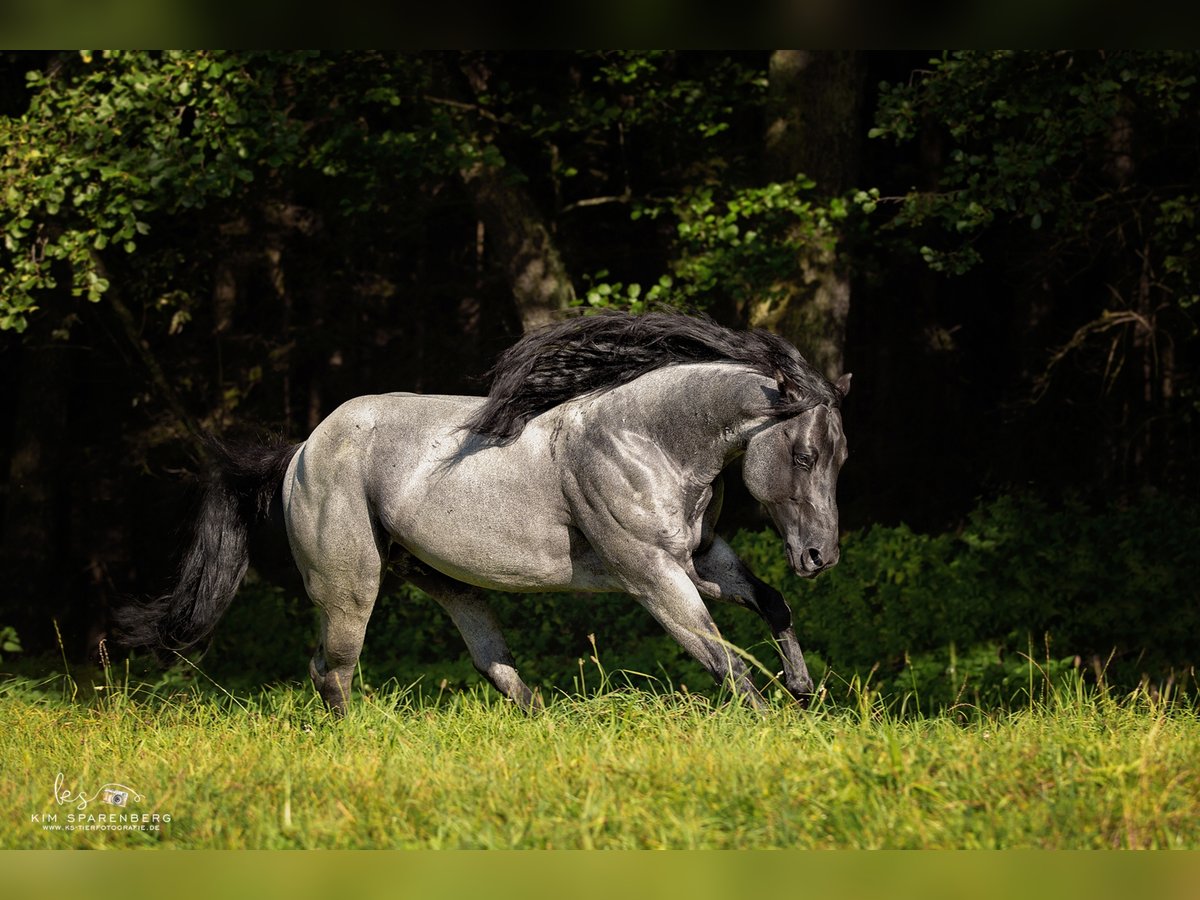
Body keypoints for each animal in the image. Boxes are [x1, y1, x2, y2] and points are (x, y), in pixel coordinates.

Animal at [112, 314, 849, 715]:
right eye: (806, 452)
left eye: (839, 456)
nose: (822, 558)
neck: (645, 439)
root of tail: (301, 450)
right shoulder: (653, 575)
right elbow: (723, 659)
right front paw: (772, 723)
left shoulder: (699, 558)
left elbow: (771, 603)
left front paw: (803, 690)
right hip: (350, 585)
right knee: (332, 670)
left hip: (447, 582)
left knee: (494, 666)